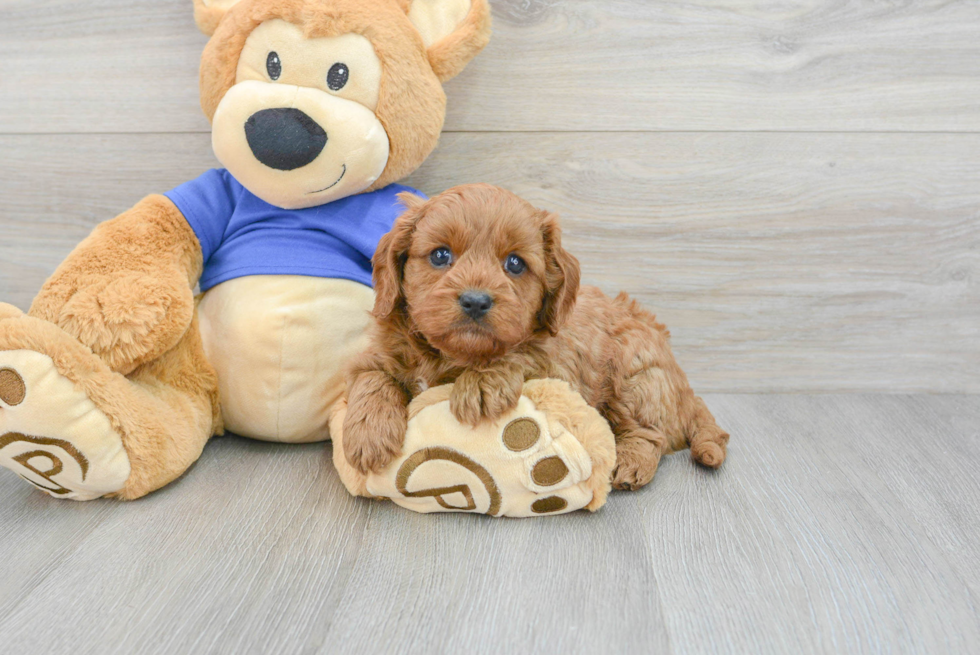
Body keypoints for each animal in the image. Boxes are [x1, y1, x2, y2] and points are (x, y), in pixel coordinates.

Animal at [344, 182, 728, 490]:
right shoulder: (379, 353)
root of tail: (685, 389)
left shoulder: (558, 367)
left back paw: (630, 462)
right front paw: (368, 434)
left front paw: (480, 383)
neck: (453, 355)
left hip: (637, 376)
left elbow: (521, 353)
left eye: (515, 264)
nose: (475, 301)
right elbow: (370, 377)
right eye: (440, 255)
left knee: (651, 433)